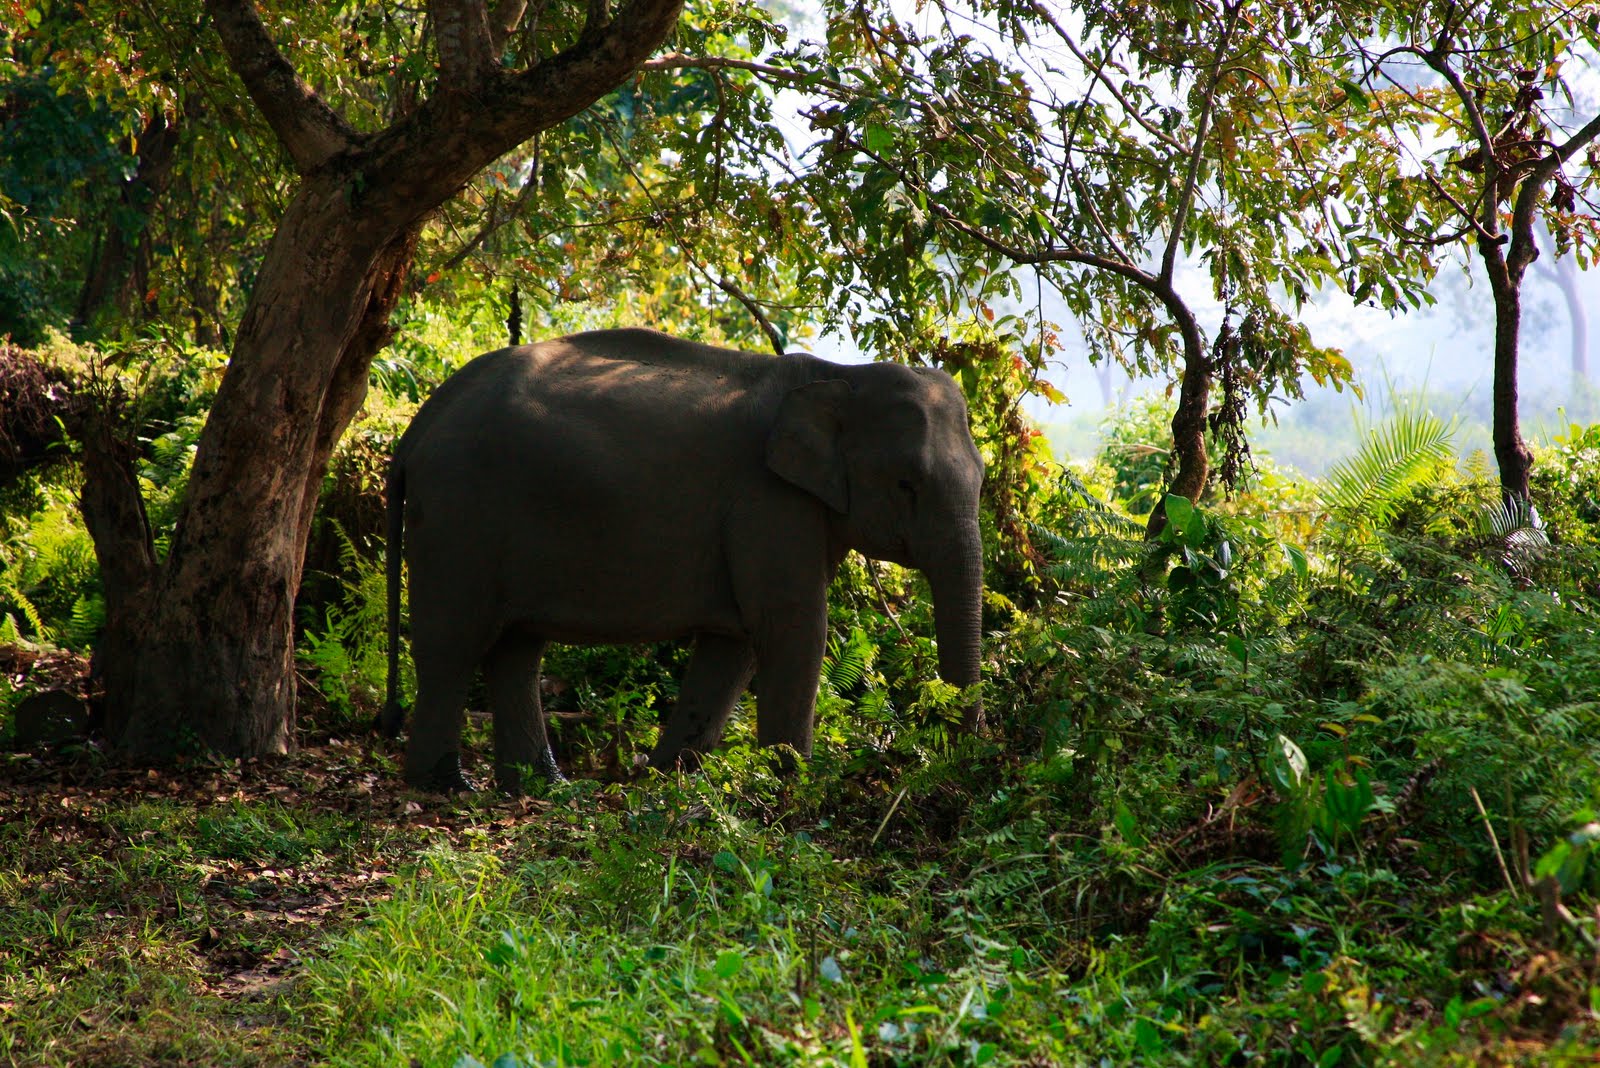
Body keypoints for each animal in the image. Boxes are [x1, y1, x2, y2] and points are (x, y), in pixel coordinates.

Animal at [381, 327, 985, 792]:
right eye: (906, 484)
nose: (958, 759)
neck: (842, 375)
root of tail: (418, 426)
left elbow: (735, 644)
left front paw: (666, 778)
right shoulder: (770, 501)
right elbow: (794, 630)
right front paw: (793, 786)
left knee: (515, 650)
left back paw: (543, 788)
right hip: (459, 515)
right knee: (452, 643)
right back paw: (444, 784)